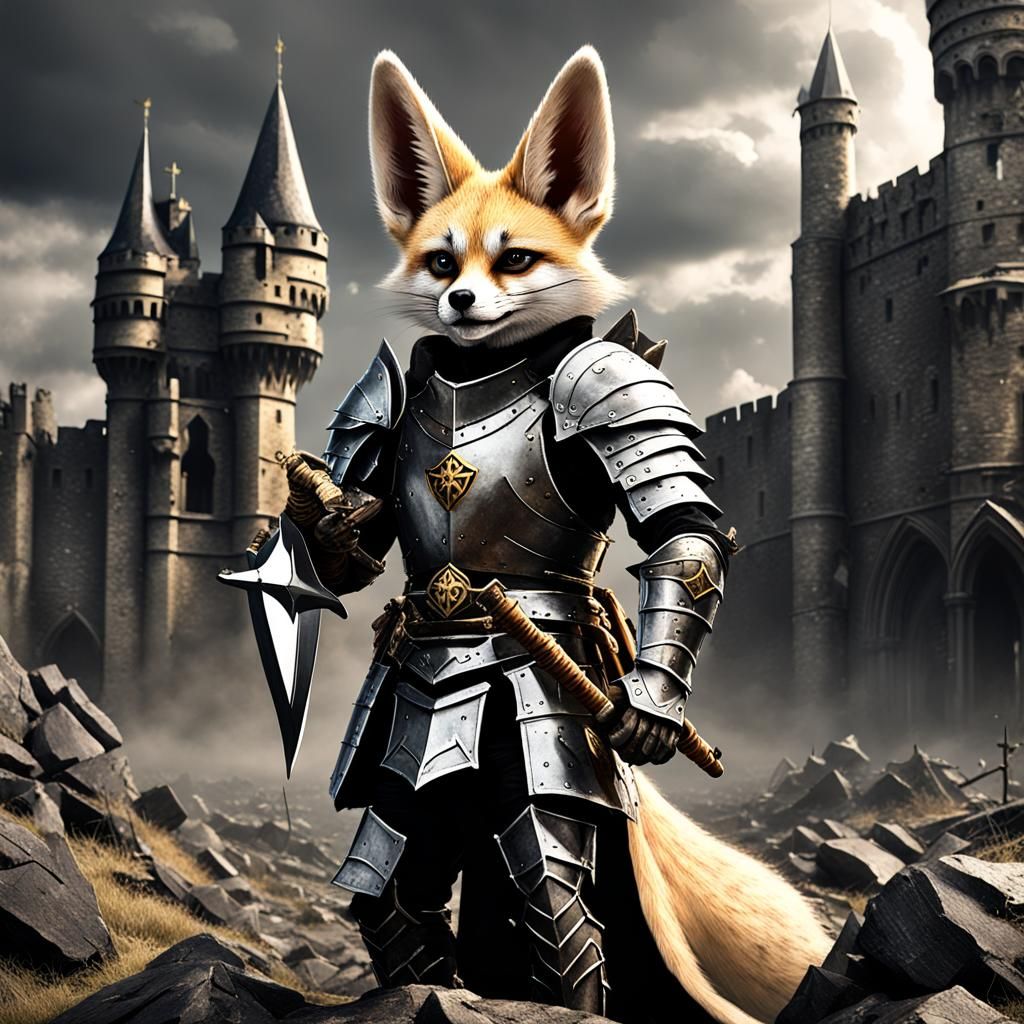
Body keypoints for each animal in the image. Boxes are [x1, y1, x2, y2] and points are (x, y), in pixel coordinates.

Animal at [317, 44, 832, 1023]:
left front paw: (647, 713)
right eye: (439, 260)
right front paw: (324, 521)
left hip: (549, 751)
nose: (461, 301)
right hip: (411, 750)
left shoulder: (612, 384)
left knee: (547, 887)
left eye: (516, 258)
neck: (480, 365)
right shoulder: (379, 402)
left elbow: (682, 531)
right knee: (395, 871)